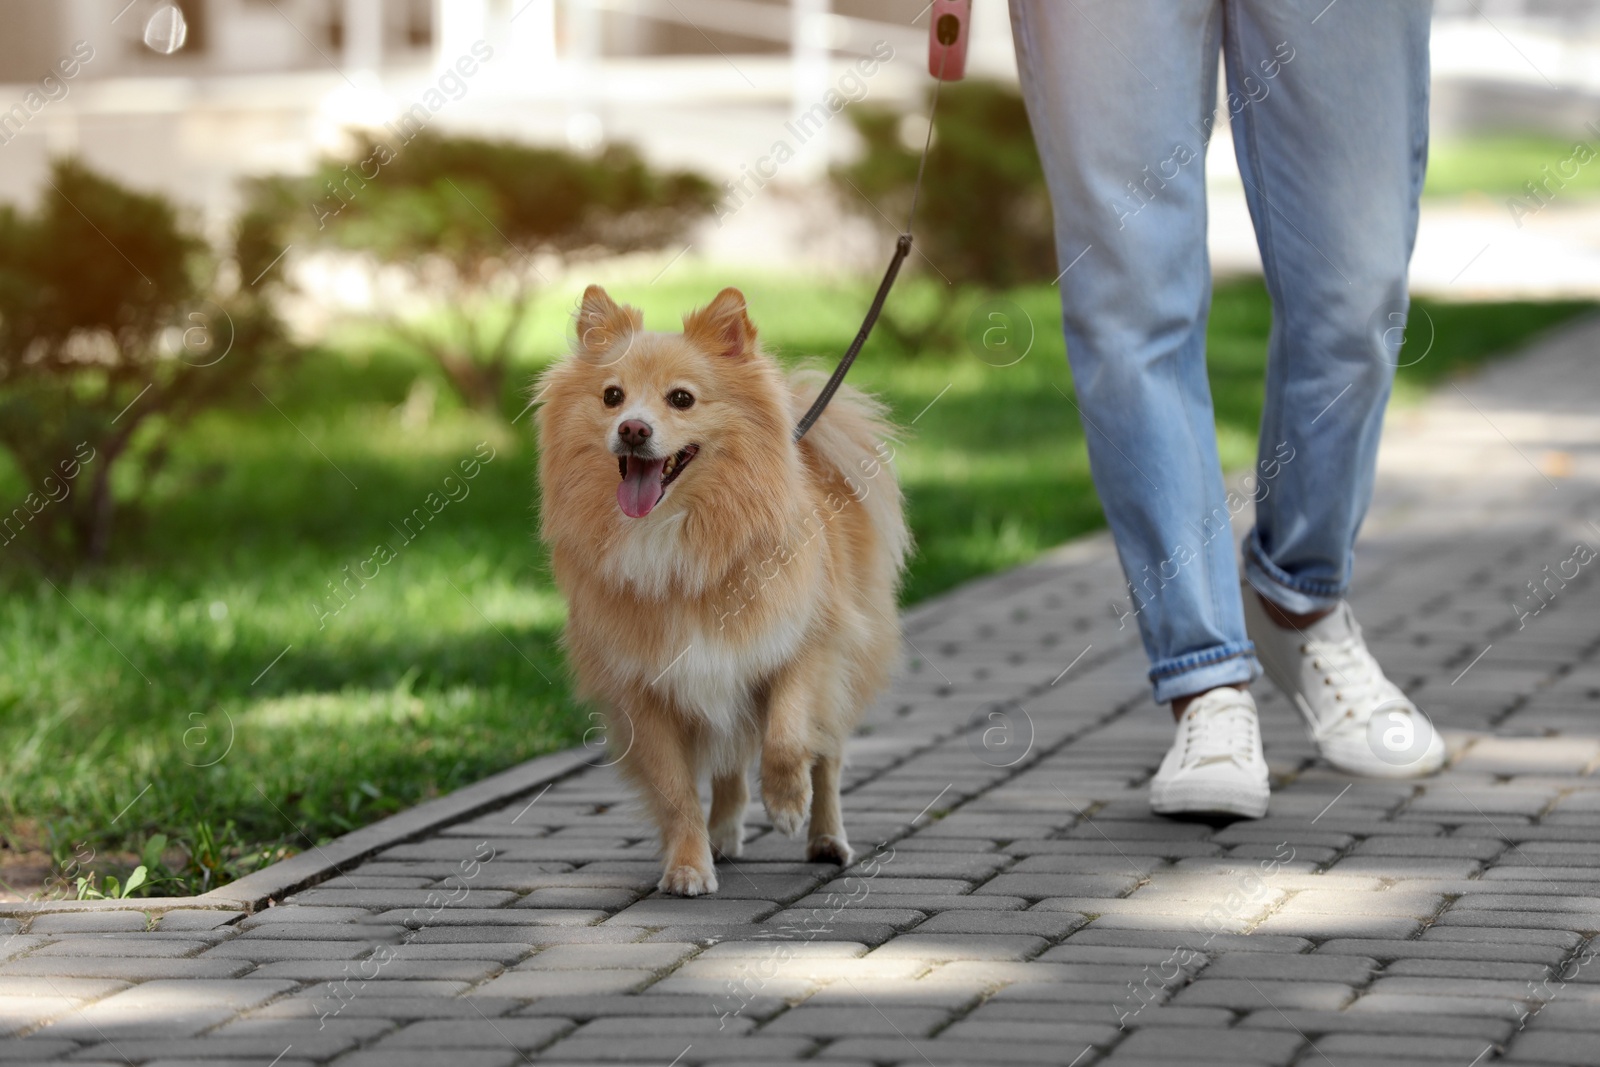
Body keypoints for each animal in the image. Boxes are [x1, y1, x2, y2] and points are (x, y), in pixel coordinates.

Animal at [537, 283, 915, 895]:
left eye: (682, 399)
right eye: (612, 397)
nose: (633, 429)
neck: (674, 532)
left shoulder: (803, 645)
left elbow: (788, 736)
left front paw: (786, 802)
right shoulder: (647, 689)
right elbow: (676, 791)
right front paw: (688, 864)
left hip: (840, 672)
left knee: (827, 759)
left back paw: (825, 838)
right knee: (730, 767)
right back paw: (722, 835)